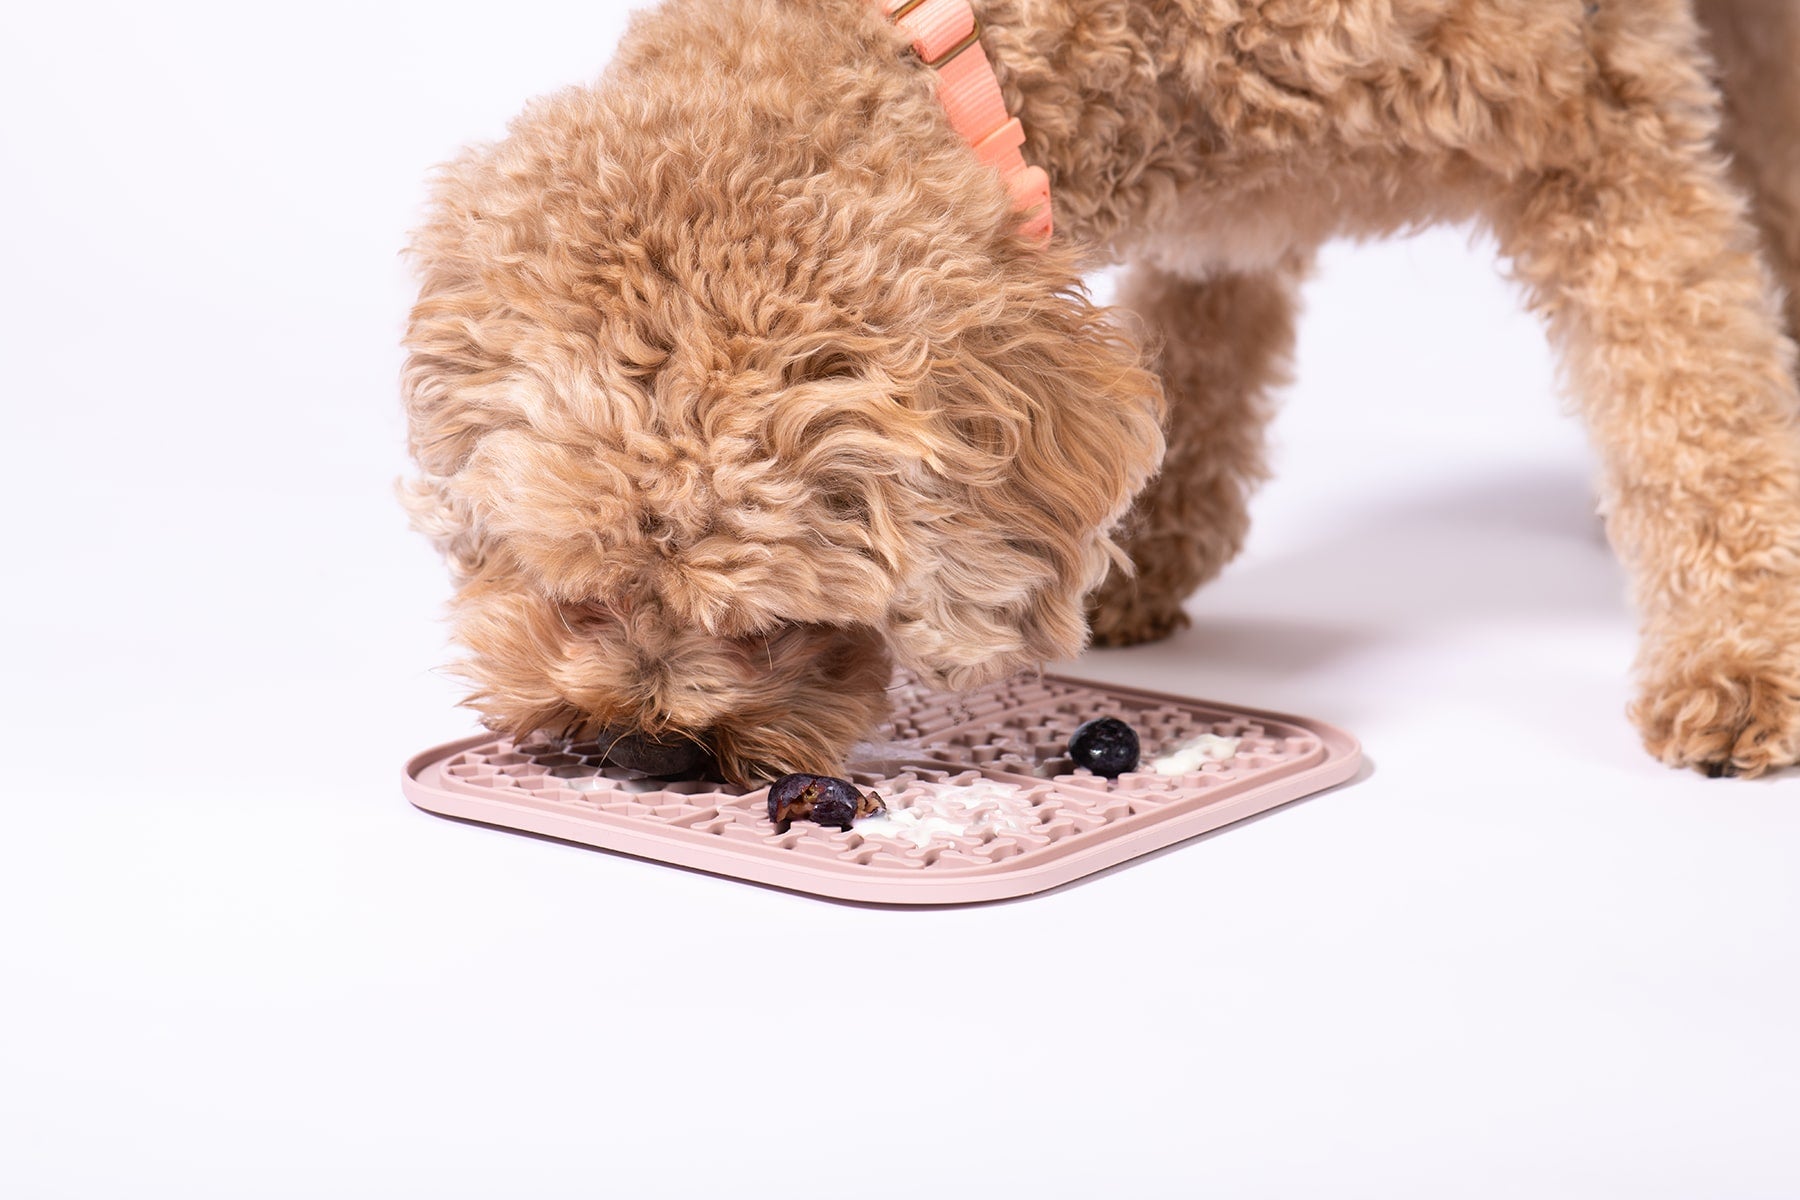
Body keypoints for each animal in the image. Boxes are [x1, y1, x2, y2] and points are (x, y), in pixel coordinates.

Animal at [405, 0, 1800, 784]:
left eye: (775, 621)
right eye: (572, 588)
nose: (645, 751)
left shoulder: (1605, 127)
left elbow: (1695, 386)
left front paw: (1743, 651)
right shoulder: (1220, 182)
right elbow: (1198, 346)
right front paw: (1141, 554)